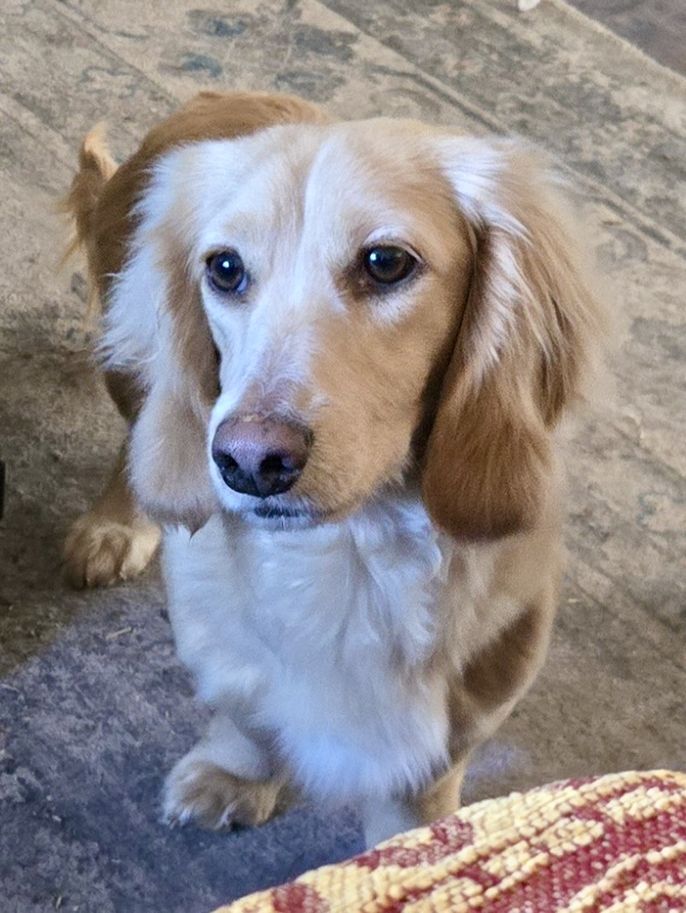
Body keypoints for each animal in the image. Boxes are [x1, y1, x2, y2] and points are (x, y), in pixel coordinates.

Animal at [63, 91, 604, 846]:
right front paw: (233, 774)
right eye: (224, 269)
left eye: (385, 261)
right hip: (131, 375)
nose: (249, 460)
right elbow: (250, 718)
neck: (355, 550)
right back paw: (116, 524)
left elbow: (419, 792)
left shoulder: (475, 695)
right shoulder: (220, 642)